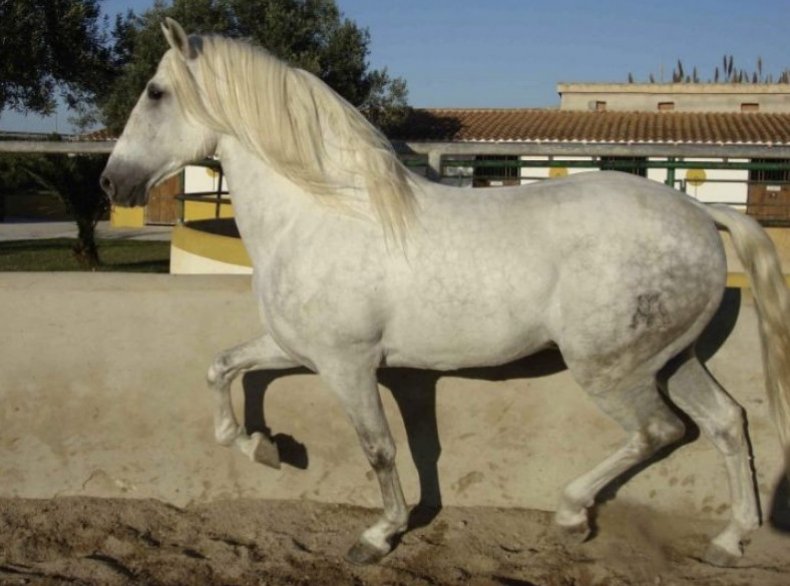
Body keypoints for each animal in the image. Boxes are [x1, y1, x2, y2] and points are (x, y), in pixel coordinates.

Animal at [103, 18, 790, 564]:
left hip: (610, 369)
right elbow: (221, 369)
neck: (321, 214)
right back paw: (729, 540)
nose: (113, 182)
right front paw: (266, 450)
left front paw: (378, 536)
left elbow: (380, 449)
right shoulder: (296, 347)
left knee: (660, 431)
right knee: (727, 422)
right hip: (670, 359)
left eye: (156, 92)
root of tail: (700, 215)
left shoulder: (348, 364)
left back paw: (571, 515)